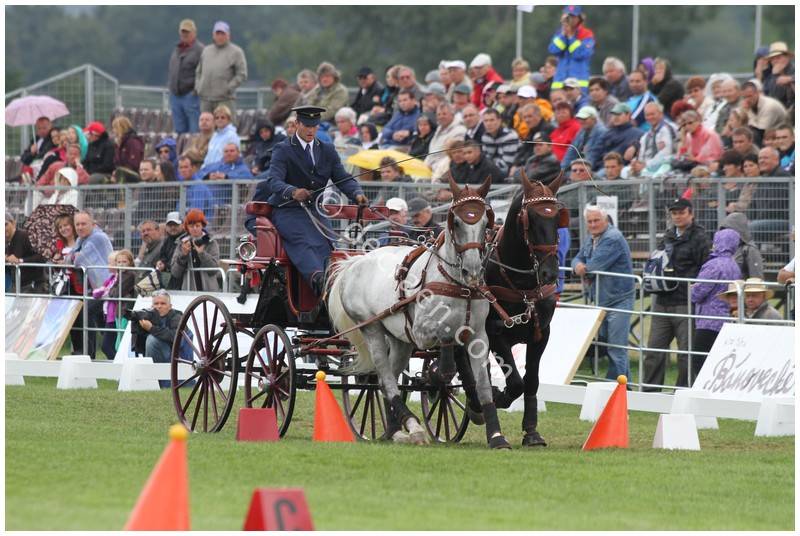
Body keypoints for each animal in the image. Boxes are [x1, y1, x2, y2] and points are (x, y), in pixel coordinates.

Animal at [326, 175, 513, 449]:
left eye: (485, 223)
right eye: (456, 221)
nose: (472, 270)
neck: (457, 285)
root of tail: (355, 262)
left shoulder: (479, 335)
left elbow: (483, 386)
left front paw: (497, 436)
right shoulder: (422, 333)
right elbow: (445, 348)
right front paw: (438, 377)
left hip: (400, 340)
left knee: (386, 382)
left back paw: (396, 430)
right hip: (372, 329)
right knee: (385, 378)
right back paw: (412, 426)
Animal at [457, 170, 566, 447]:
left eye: (558, 216)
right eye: (530, 219)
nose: (549, 273)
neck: (522, 285)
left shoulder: (542, 334)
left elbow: (531, 381)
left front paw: (531, 432)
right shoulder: (494, 333)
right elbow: (516, 382)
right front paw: (499, 398)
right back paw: (476, 403)